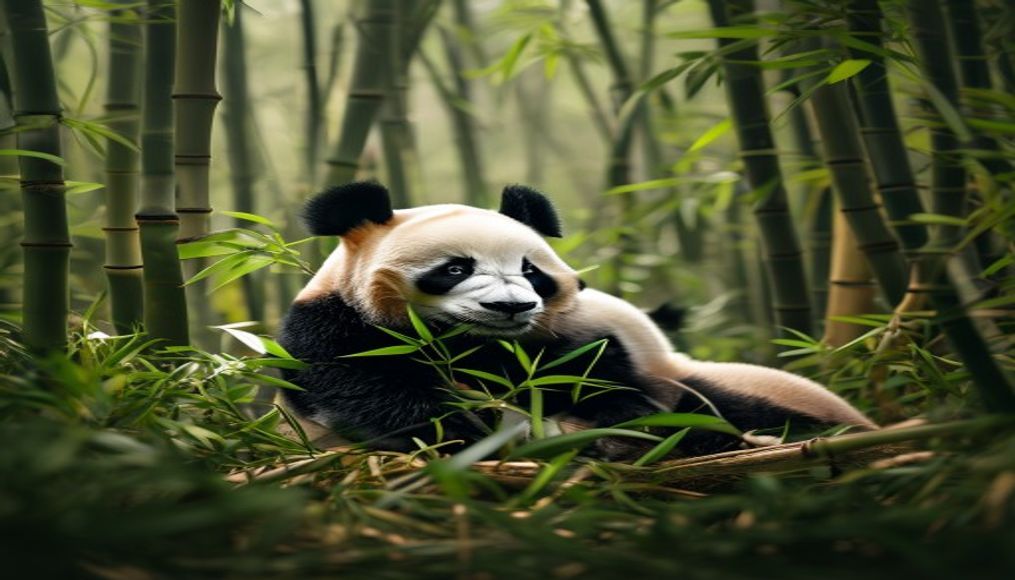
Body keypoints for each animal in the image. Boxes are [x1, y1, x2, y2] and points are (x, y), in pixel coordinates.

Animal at [277, 181, 876, 458]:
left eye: (530, 271)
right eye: (454, 268)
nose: (512, 307)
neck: (467, 344)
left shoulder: (565, 349)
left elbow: (593, 383)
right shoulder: (331, 328)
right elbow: (366, 387)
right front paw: (469, 428)